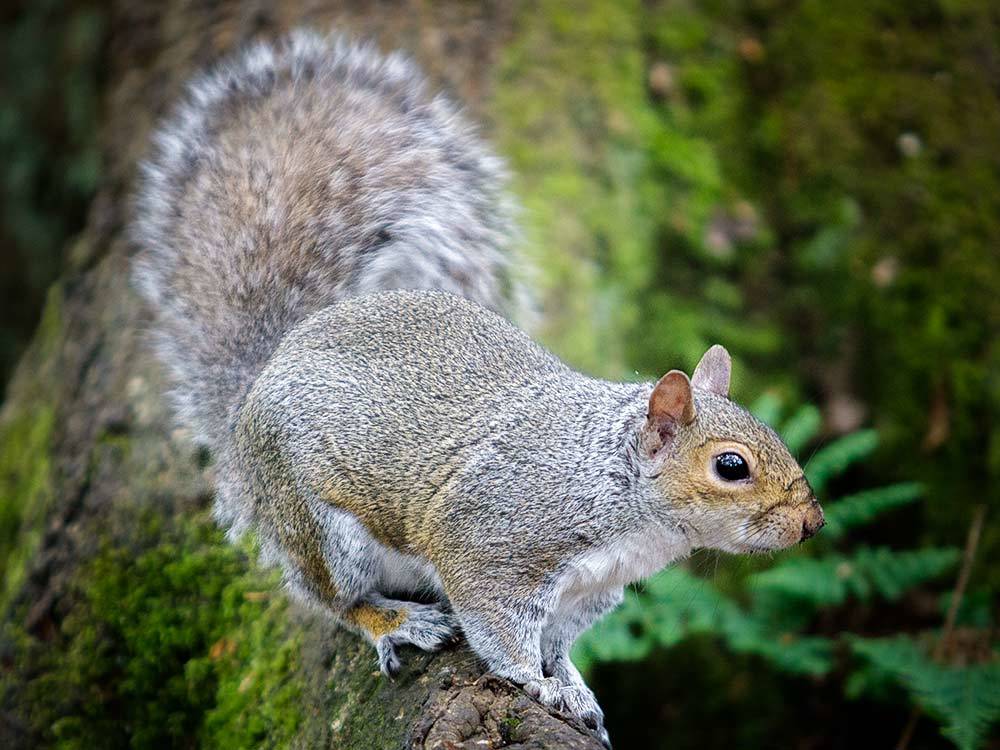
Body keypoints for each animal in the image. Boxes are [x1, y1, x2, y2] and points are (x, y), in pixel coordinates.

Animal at [131, 27, 820, 748]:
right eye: (731, 466)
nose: (813, 522)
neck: (612, 488)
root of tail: (254, 390)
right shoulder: (492, 547)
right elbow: (501, 635)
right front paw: (538, 685)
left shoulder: (586, 593)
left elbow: (557, 643)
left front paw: (571, 682)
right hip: (316, 523)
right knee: (333, 599)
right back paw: (395, 621)